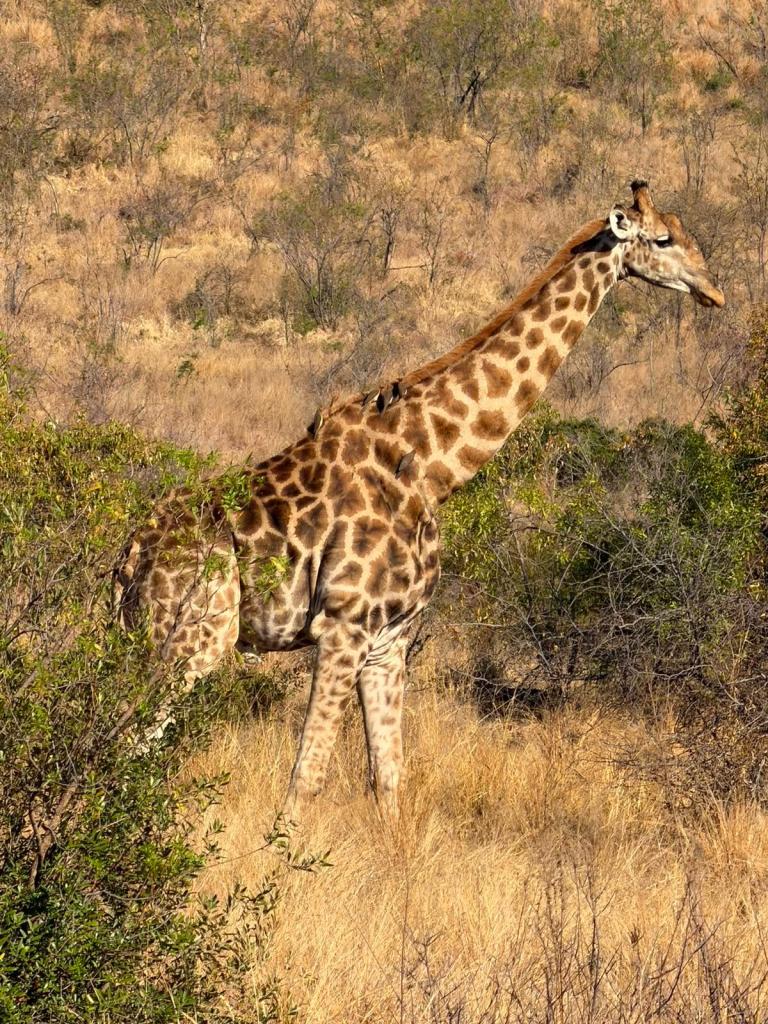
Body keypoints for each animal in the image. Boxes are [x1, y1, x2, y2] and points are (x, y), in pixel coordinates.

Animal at [113, 180, 725, 817]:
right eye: (664, 239)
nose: (715, 291)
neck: (431, 464)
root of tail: (129, 555)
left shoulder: (390, 639)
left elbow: (388, 777)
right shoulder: (343, 627)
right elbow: (307, 776)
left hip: (146, 635)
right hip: (193, 639)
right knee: (128, 742)